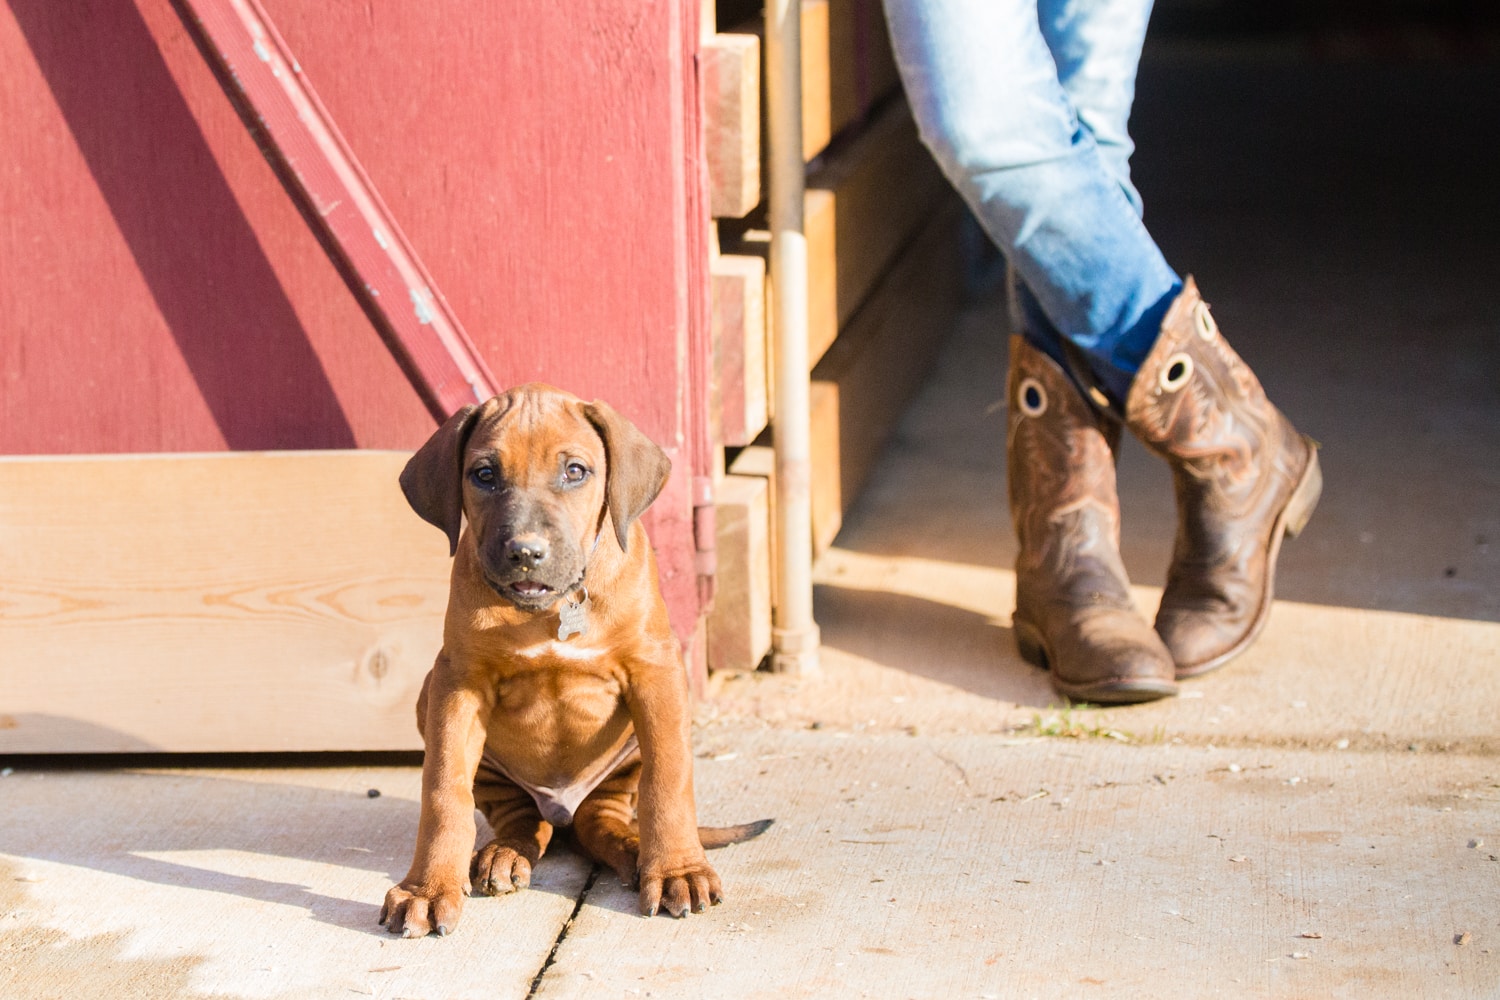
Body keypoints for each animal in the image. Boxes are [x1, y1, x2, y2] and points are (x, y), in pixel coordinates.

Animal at [381, 383, 768, 941]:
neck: (552, 606)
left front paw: (677, 868)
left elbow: (669, 777)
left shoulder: (656, 671)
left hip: (623, 761)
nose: (525, 552)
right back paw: (503, 855)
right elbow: (443, 789)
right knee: (525, 819)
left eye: (575, 471)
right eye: (484, 475)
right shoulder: (458, 682)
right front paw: (427, 890)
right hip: (432, 701)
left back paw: (635, 853)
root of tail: (561, 809)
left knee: (602, 820)